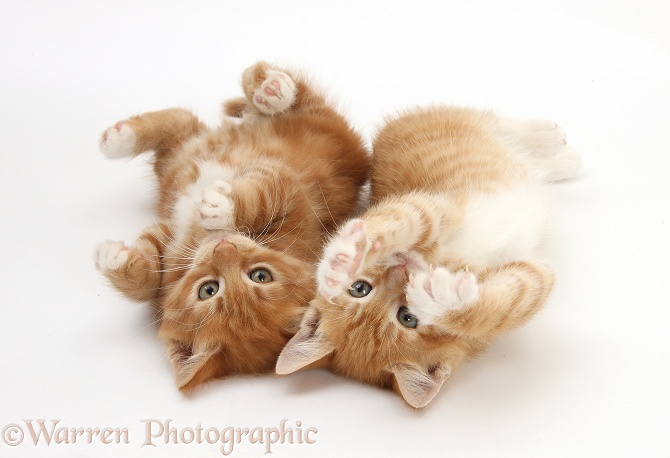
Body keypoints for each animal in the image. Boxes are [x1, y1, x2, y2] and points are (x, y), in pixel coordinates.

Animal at [94, 60, 370, 390]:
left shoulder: (288, 192)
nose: (222, 248)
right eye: (209, 289)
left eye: (260, 276)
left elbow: (256, 198)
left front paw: (220, 206)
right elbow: (145, 283)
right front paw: (116, 261)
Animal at [278, 106, 584, 408]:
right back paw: (561, 157)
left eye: (358, 288)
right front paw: (446, 300)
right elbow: (508, 303)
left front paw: (342, 259)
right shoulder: (533, 276)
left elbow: (401, 219)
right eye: (408, 318)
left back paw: (552, 140)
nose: (402, 269)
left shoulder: (431, 209)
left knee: (495, 121)